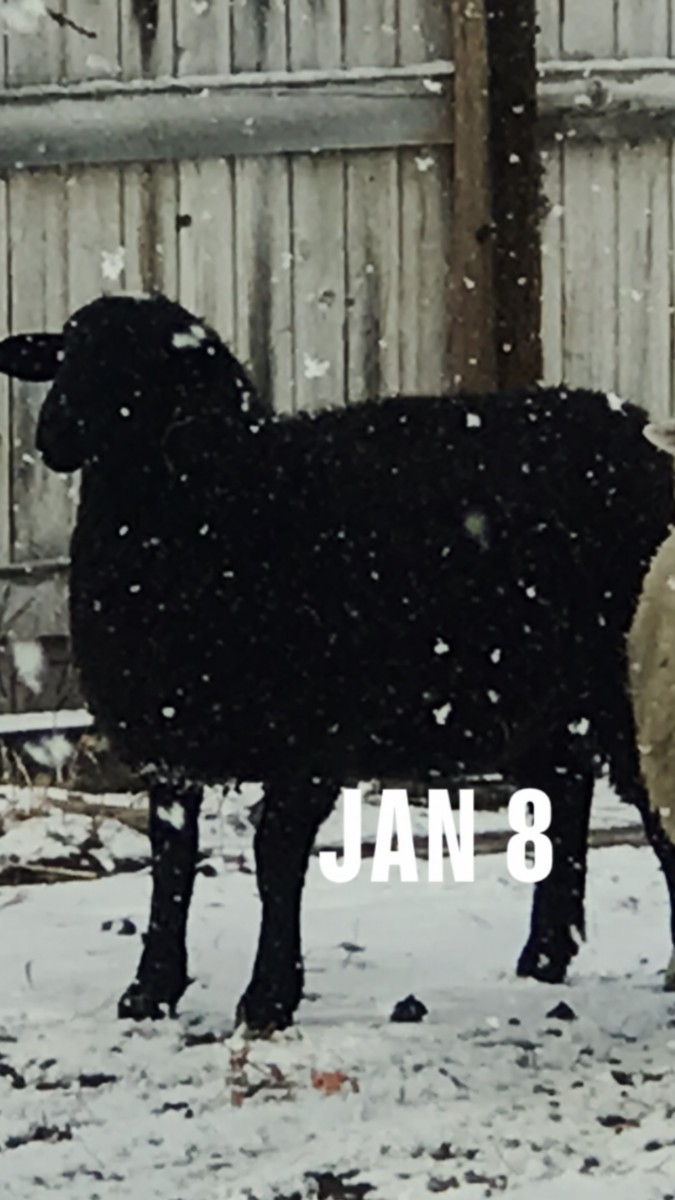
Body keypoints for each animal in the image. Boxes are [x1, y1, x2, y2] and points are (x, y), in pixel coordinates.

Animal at [1, 291, 674, 1034]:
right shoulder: (168, 739)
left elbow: (275, 858)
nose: (54, 432)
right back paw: (544, 958)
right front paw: (150, 992)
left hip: (626, 693)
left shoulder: (308, 738)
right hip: (539, 696)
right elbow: (171, 860)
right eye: (66, 353)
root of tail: (641, 429)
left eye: (140, 366)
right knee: (563, 790)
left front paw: (267, 998)